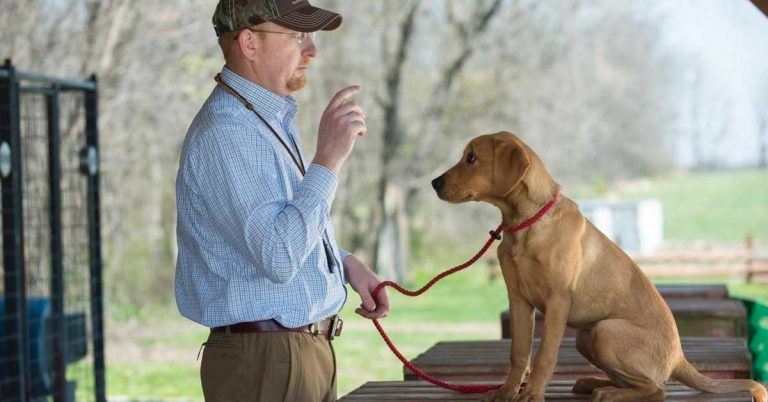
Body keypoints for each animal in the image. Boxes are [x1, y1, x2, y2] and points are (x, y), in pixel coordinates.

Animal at [428, 130, 764, 400]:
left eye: (471, 158)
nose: (434, 183)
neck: (525, 225)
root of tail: (678, 358)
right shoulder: (519, 300)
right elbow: (519, 354)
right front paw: (507, 392)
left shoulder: (557, 302)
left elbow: (544, 356)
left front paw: (532, 395)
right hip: (586, 337)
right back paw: (594, 383)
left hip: (605, 331)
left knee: (657, 389)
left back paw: (610, 393)